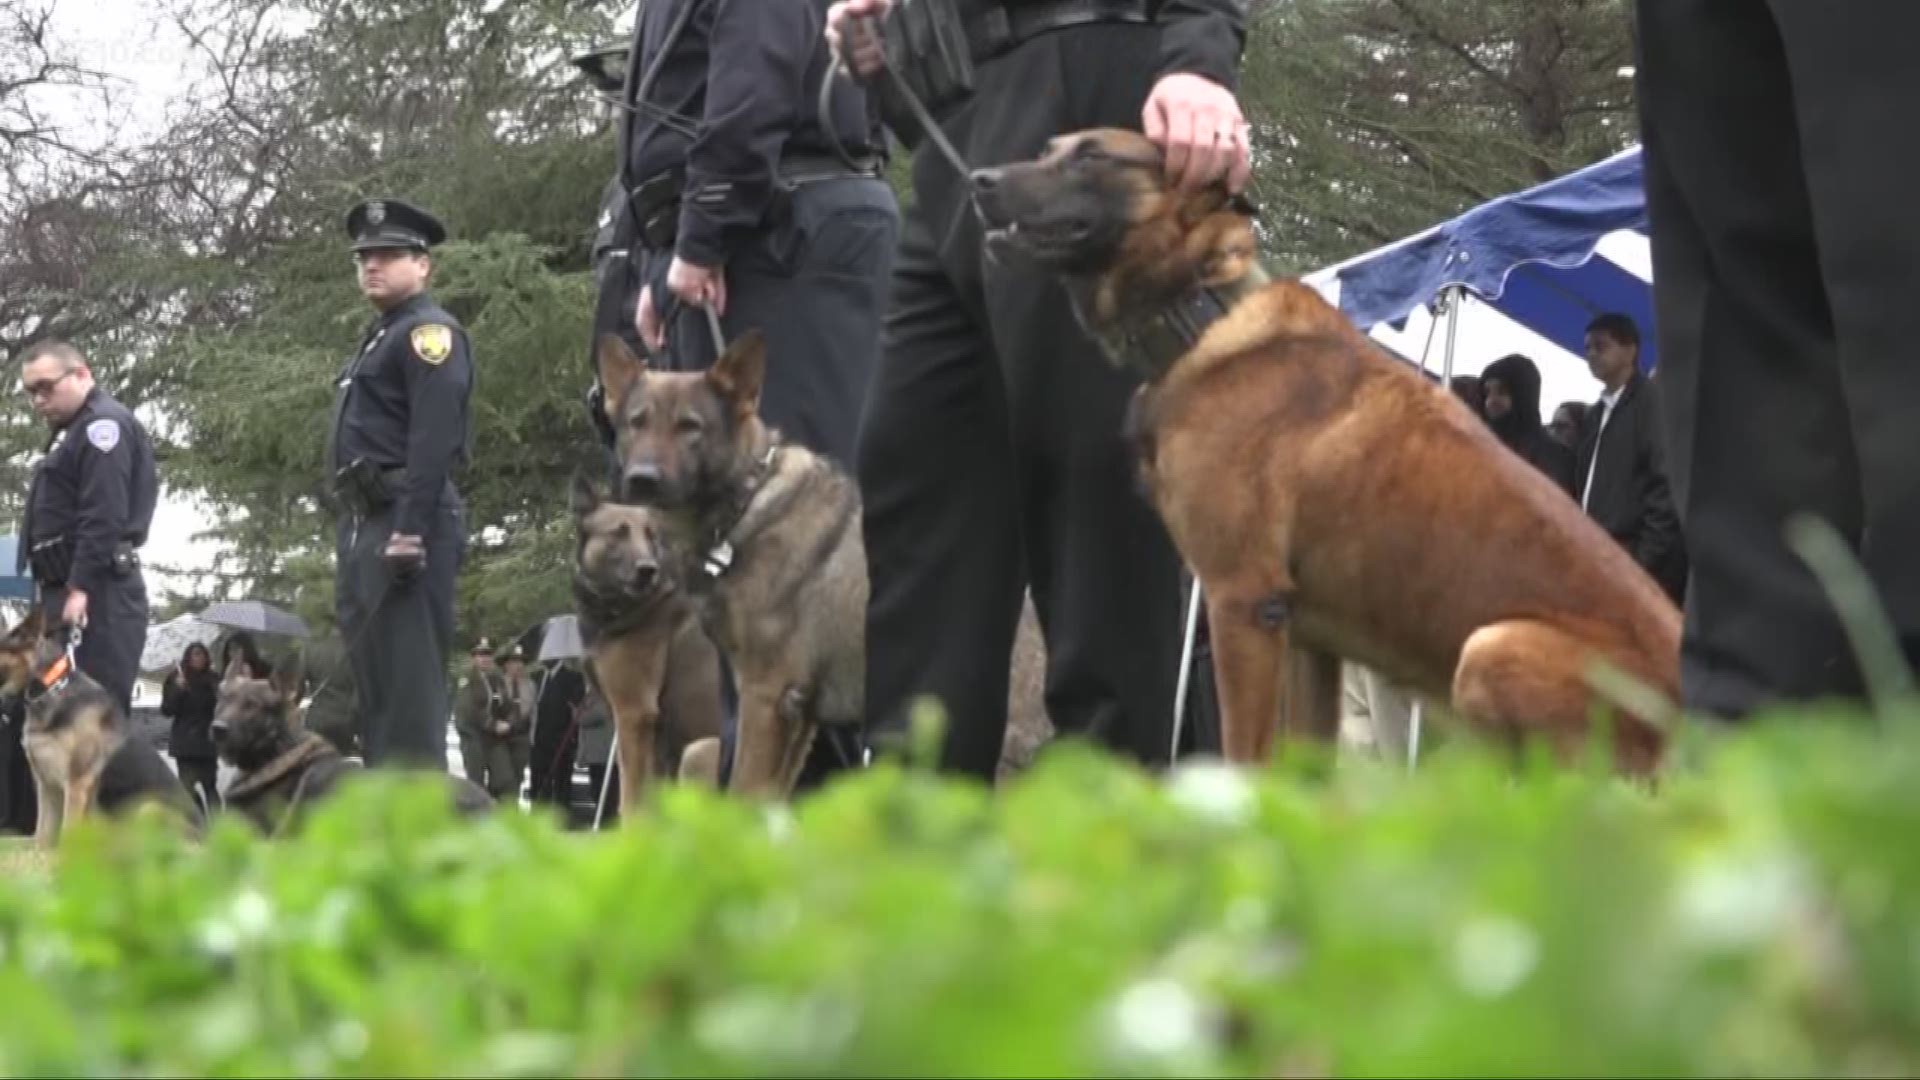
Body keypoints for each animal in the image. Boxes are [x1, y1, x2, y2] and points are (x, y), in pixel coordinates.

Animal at [0, 607, 206, 841]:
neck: (51, 688)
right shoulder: (47, 788)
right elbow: (41, 838)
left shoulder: (76, 786)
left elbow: (67, 836)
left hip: (148, 809)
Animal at [568, 470, 725, 807]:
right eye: (618, 533)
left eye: (651, 536)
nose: (647, 570)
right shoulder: (654, 738)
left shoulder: (634, 716)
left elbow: (631, 799)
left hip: (699, 753)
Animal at [975, 127, 1681, 772]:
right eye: (1048, 149)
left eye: (1092, 155)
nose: (980, 180)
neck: (1204, 314)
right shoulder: (1308, 641)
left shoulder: (1240, 603)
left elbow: (1246, 760)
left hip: (1490, 652)